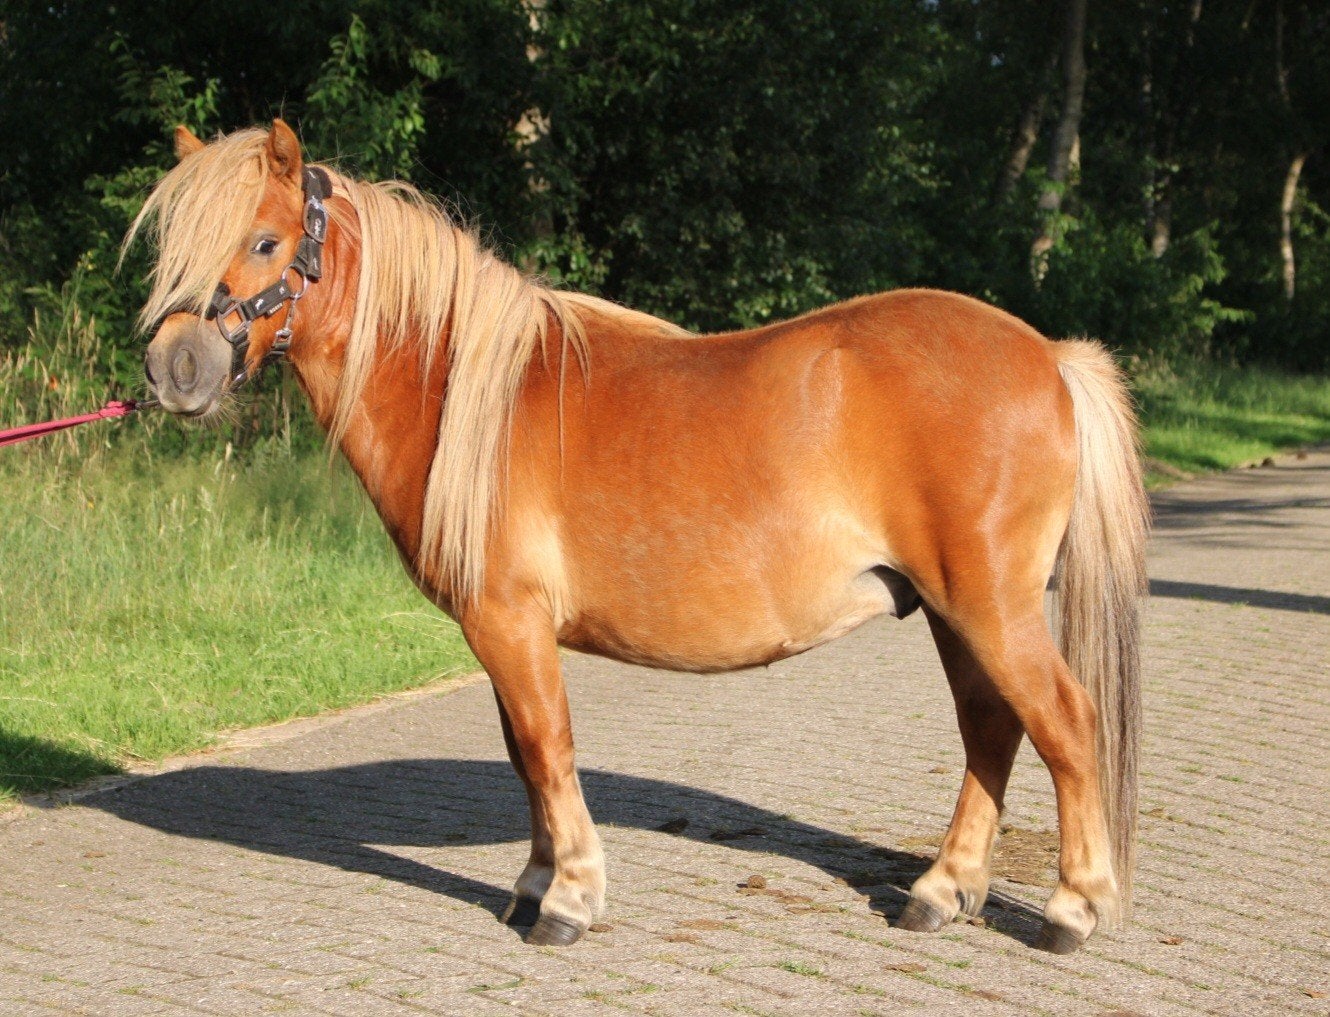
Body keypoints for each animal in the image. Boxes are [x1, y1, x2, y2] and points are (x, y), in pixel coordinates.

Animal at [133, 120, 1148, 953]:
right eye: (171, 250)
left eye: (265, 242)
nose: (176, 368)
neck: (462, 387)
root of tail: (1049, 356)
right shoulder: (502, 630)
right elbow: (523, 757)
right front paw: (535, 881)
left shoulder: (508, 623)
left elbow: (547, 747)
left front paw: (570, 899)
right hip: (951, 610)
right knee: (992, 729)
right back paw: (942, 890)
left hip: (989, 606)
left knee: (1065, 724)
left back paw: (1072, 907)